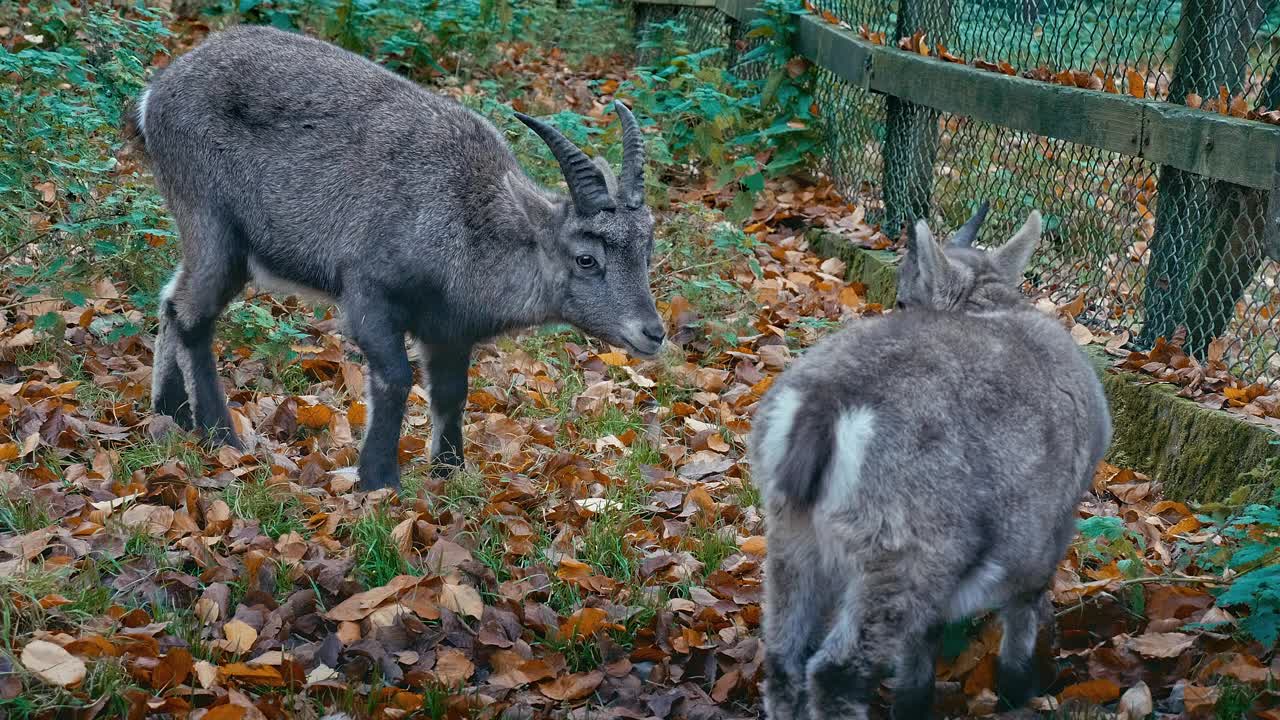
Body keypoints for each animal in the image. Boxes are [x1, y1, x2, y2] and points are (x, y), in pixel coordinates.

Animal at [127, 26, 670, 486]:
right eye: (586, 258)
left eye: (648, 246)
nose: (653, 333)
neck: (466, 226)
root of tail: (156, 95)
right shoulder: (369, 295)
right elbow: (394, 378)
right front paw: (378, 478)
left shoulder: (448, 330)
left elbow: (451, 393)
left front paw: (449, 470)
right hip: (214, 224)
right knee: (192, 315)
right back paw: (219, 435)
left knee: (171, 299)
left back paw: (170, 412)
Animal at [747, 207, 1111, 717]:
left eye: (904, 299)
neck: (991, 306)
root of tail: (826, 405)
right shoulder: (1047, 534)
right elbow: (1023, 608)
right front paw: (1017, 686)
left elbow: (925, 639)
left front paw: (913, 702)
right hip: (904, 554)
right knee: (835, 673)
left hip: (792, 537)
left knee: (784, 658)